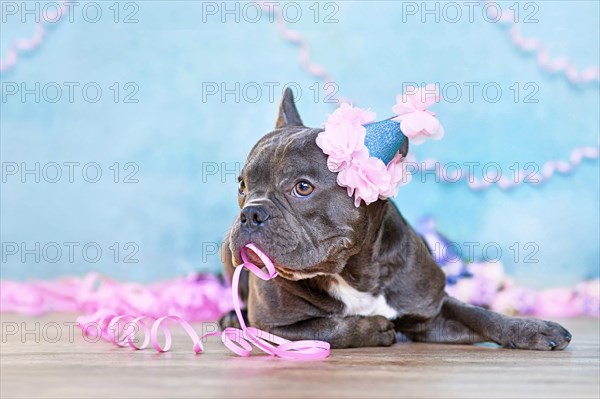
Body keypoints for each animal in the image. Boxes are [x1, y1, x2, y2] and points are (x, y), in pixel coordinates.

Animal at [219, 89, 572, 352]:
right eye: (242, 186)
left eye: (303, 188)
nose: (250, 213)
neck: (354, 272)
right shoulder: (272, 327)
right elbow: (322, 328)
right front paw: (372, 327)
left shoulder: (432, 311)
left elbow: (477, 314)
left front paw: (529, 328)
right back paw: (230, 318)